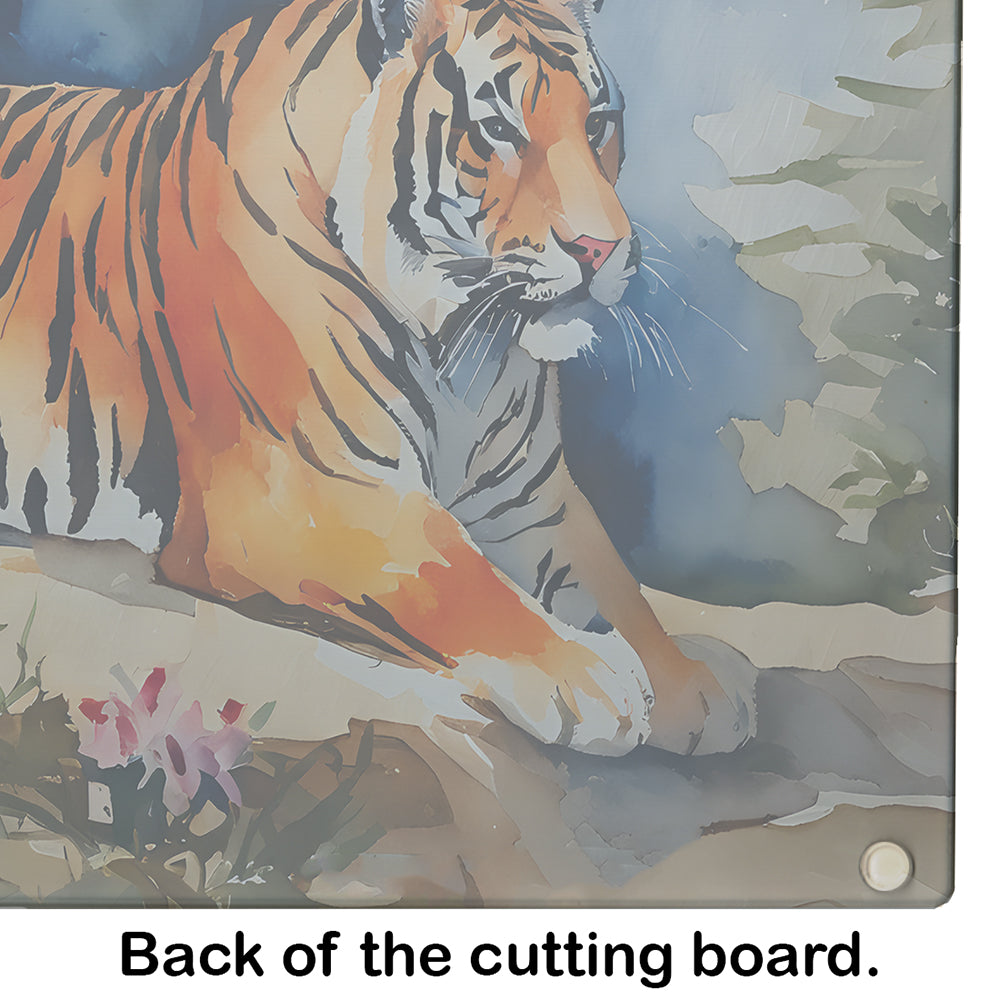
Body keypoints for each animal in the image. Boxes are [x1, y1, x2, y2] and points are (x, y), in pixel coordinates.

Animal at [0, 0, 754, 756]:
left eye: (597, 122)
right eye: (498, 130)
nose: (601, 248)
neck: (461, 339)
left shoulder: (532, 499)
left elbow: (615, 584)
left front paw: (693, 685)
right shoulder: (306, 495)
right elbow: (448, 573)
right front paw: (596, 682)